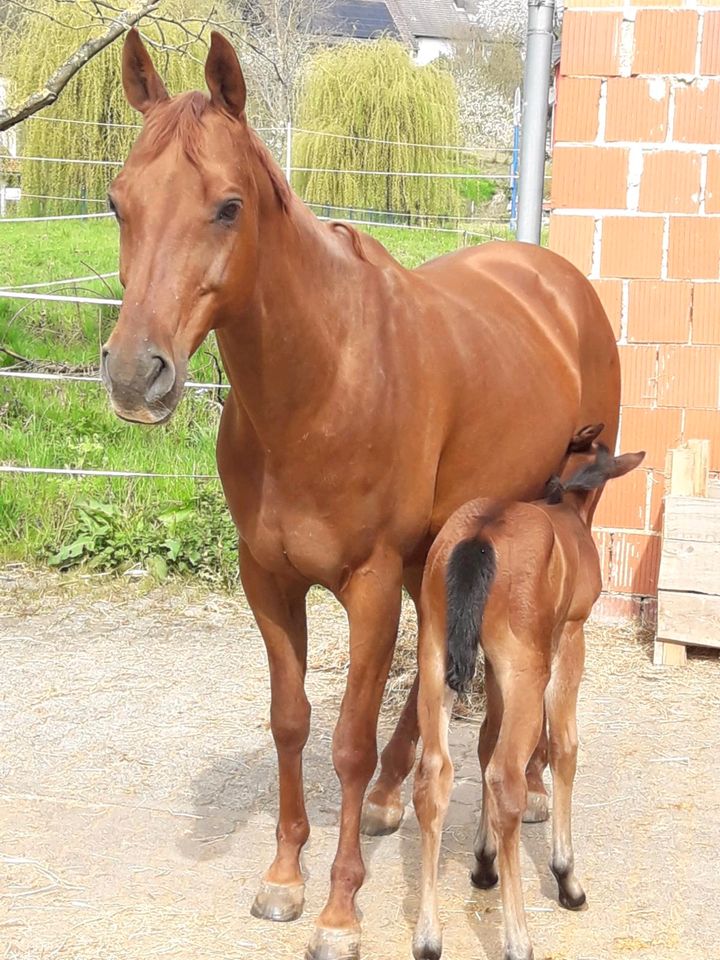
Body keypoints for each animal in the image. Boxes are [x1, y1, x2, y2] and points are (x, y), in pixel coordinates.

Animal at [104, 31, 620, 960]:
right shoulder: (268, 581)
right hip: (439, 550)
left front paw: (340, 911)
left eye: (227, 206)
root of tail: (555, 277)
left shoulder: (369, 583)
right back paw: (389, 797)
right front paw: (283, 879)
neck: (320, 384)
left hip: (550, 533)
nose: (135, 375)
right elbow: (291, 721)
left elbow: (344, 738)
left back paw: (523, 790)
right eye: (118, 203)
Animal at [414, 432, 644, 960]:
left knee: (435, 775)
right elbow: (564, 746)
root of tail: (479, 536)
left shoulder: (495, 671)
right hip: (527, 671)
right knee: (506, 778)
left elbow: (484, 740)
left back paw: (428, 938)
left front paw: (483, 863)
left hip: (435, 659)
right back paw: (519, 938)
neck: (566, 510)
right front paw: (567, 878)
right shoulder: (570, 637)